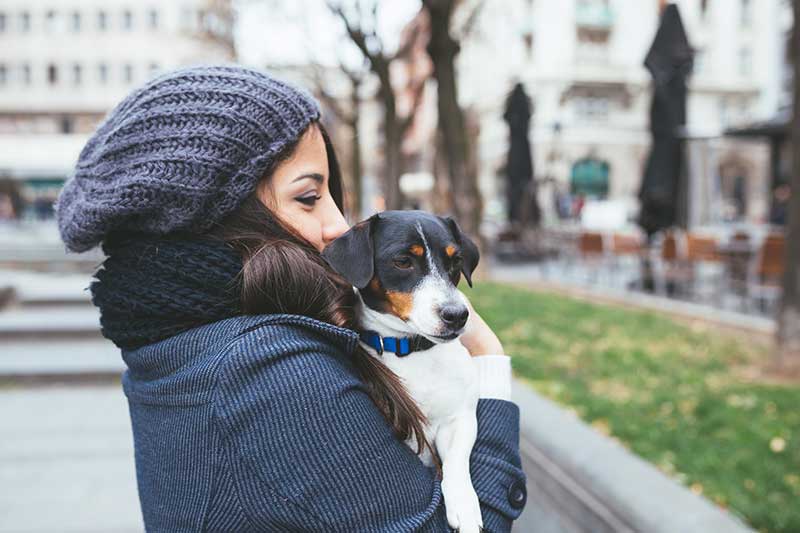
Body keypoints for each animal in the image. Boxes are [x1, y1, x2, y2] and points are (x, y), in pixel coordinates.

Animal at [318, 210, 482, 528]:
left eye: (455, 262)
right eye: (403, 261)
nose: (457, 315)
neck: (412, 350)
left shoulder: (460, 418)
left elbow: (457, 460)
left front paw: (466, 507)